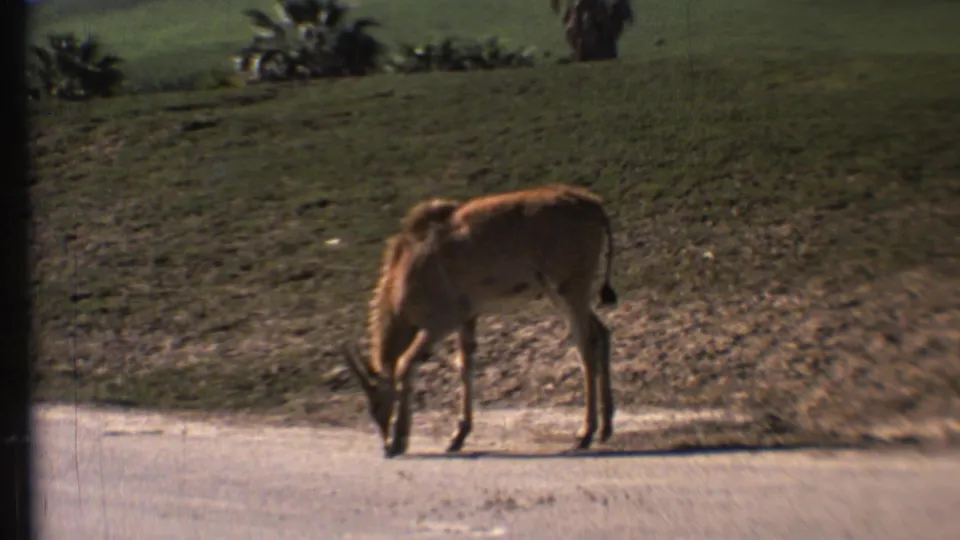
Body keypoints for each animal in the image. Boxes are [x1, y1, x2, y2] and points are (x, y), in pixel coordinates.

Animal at [343, 184, 619, 458]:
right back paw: (605, 428)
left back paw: (585, 434)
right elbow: (465, 363)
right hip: (561, 295)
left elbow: (405, 364)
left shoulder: (440, 323)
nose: (385, 448)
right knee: (601, 333)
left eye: (376, 403)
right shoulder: (467, 318)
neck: (406, 265)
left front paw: (401, 440)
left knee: (585, 346)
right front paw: (458, 436)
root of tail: (593, 205)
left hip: (569, 290)